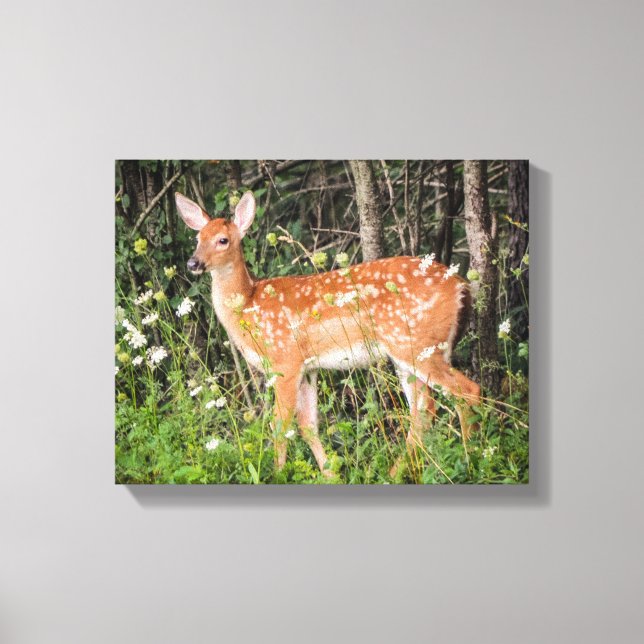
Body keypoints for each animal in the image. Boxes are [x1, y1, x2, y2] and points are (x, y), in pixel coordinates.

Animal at [175, 190, 480, 478]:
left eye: (223, 240)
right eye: (198, 237)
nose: (193, 263)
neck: (249, 306)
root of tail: (461, 286)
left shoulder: (285, 360)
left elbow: (279, 425)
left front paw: (278, 473)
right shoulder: (308, 367)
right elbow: (308, 425)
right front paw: (330, 474)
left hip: (418, 344)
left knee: (465, 392)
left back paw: (472, 461)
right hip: (410, 353)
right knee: (423, 411)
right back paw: (397, 473)